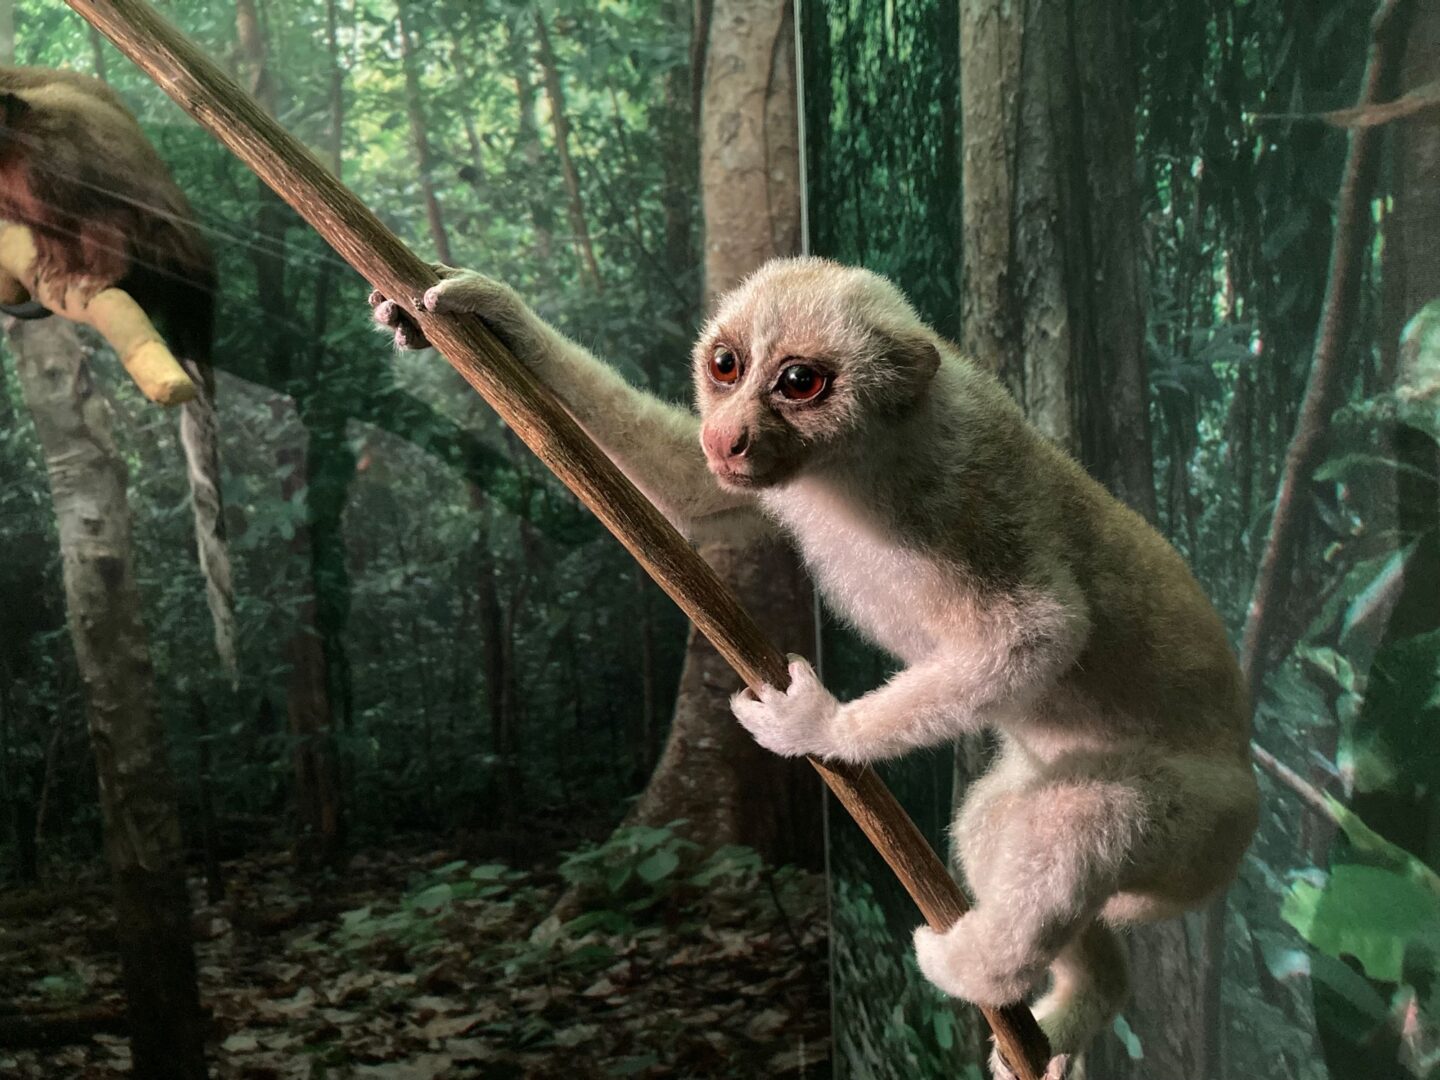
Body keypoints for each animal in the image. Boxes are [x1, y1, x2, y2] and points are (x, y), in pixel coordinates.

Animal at [0, 65, 235, 677]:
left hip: (172, 255)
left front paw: (89, 268)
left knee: (124, 218)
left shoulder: (52, 157)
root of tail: (202, 288)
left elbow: (106, 207)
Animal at [370, 258, 1260, 1078]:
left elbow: (1039, 631)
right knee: (997, 821)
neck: (858, 458)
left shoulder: (965, 498)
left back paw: (980, 969)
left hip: (1201, 828)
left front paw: (816, 725)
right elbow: (694, 494)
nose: (728, 435)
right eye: (725, 365)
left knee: (1084, 819)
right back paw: (1080, 1007)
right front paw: (486, 316)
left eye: (801, 382)